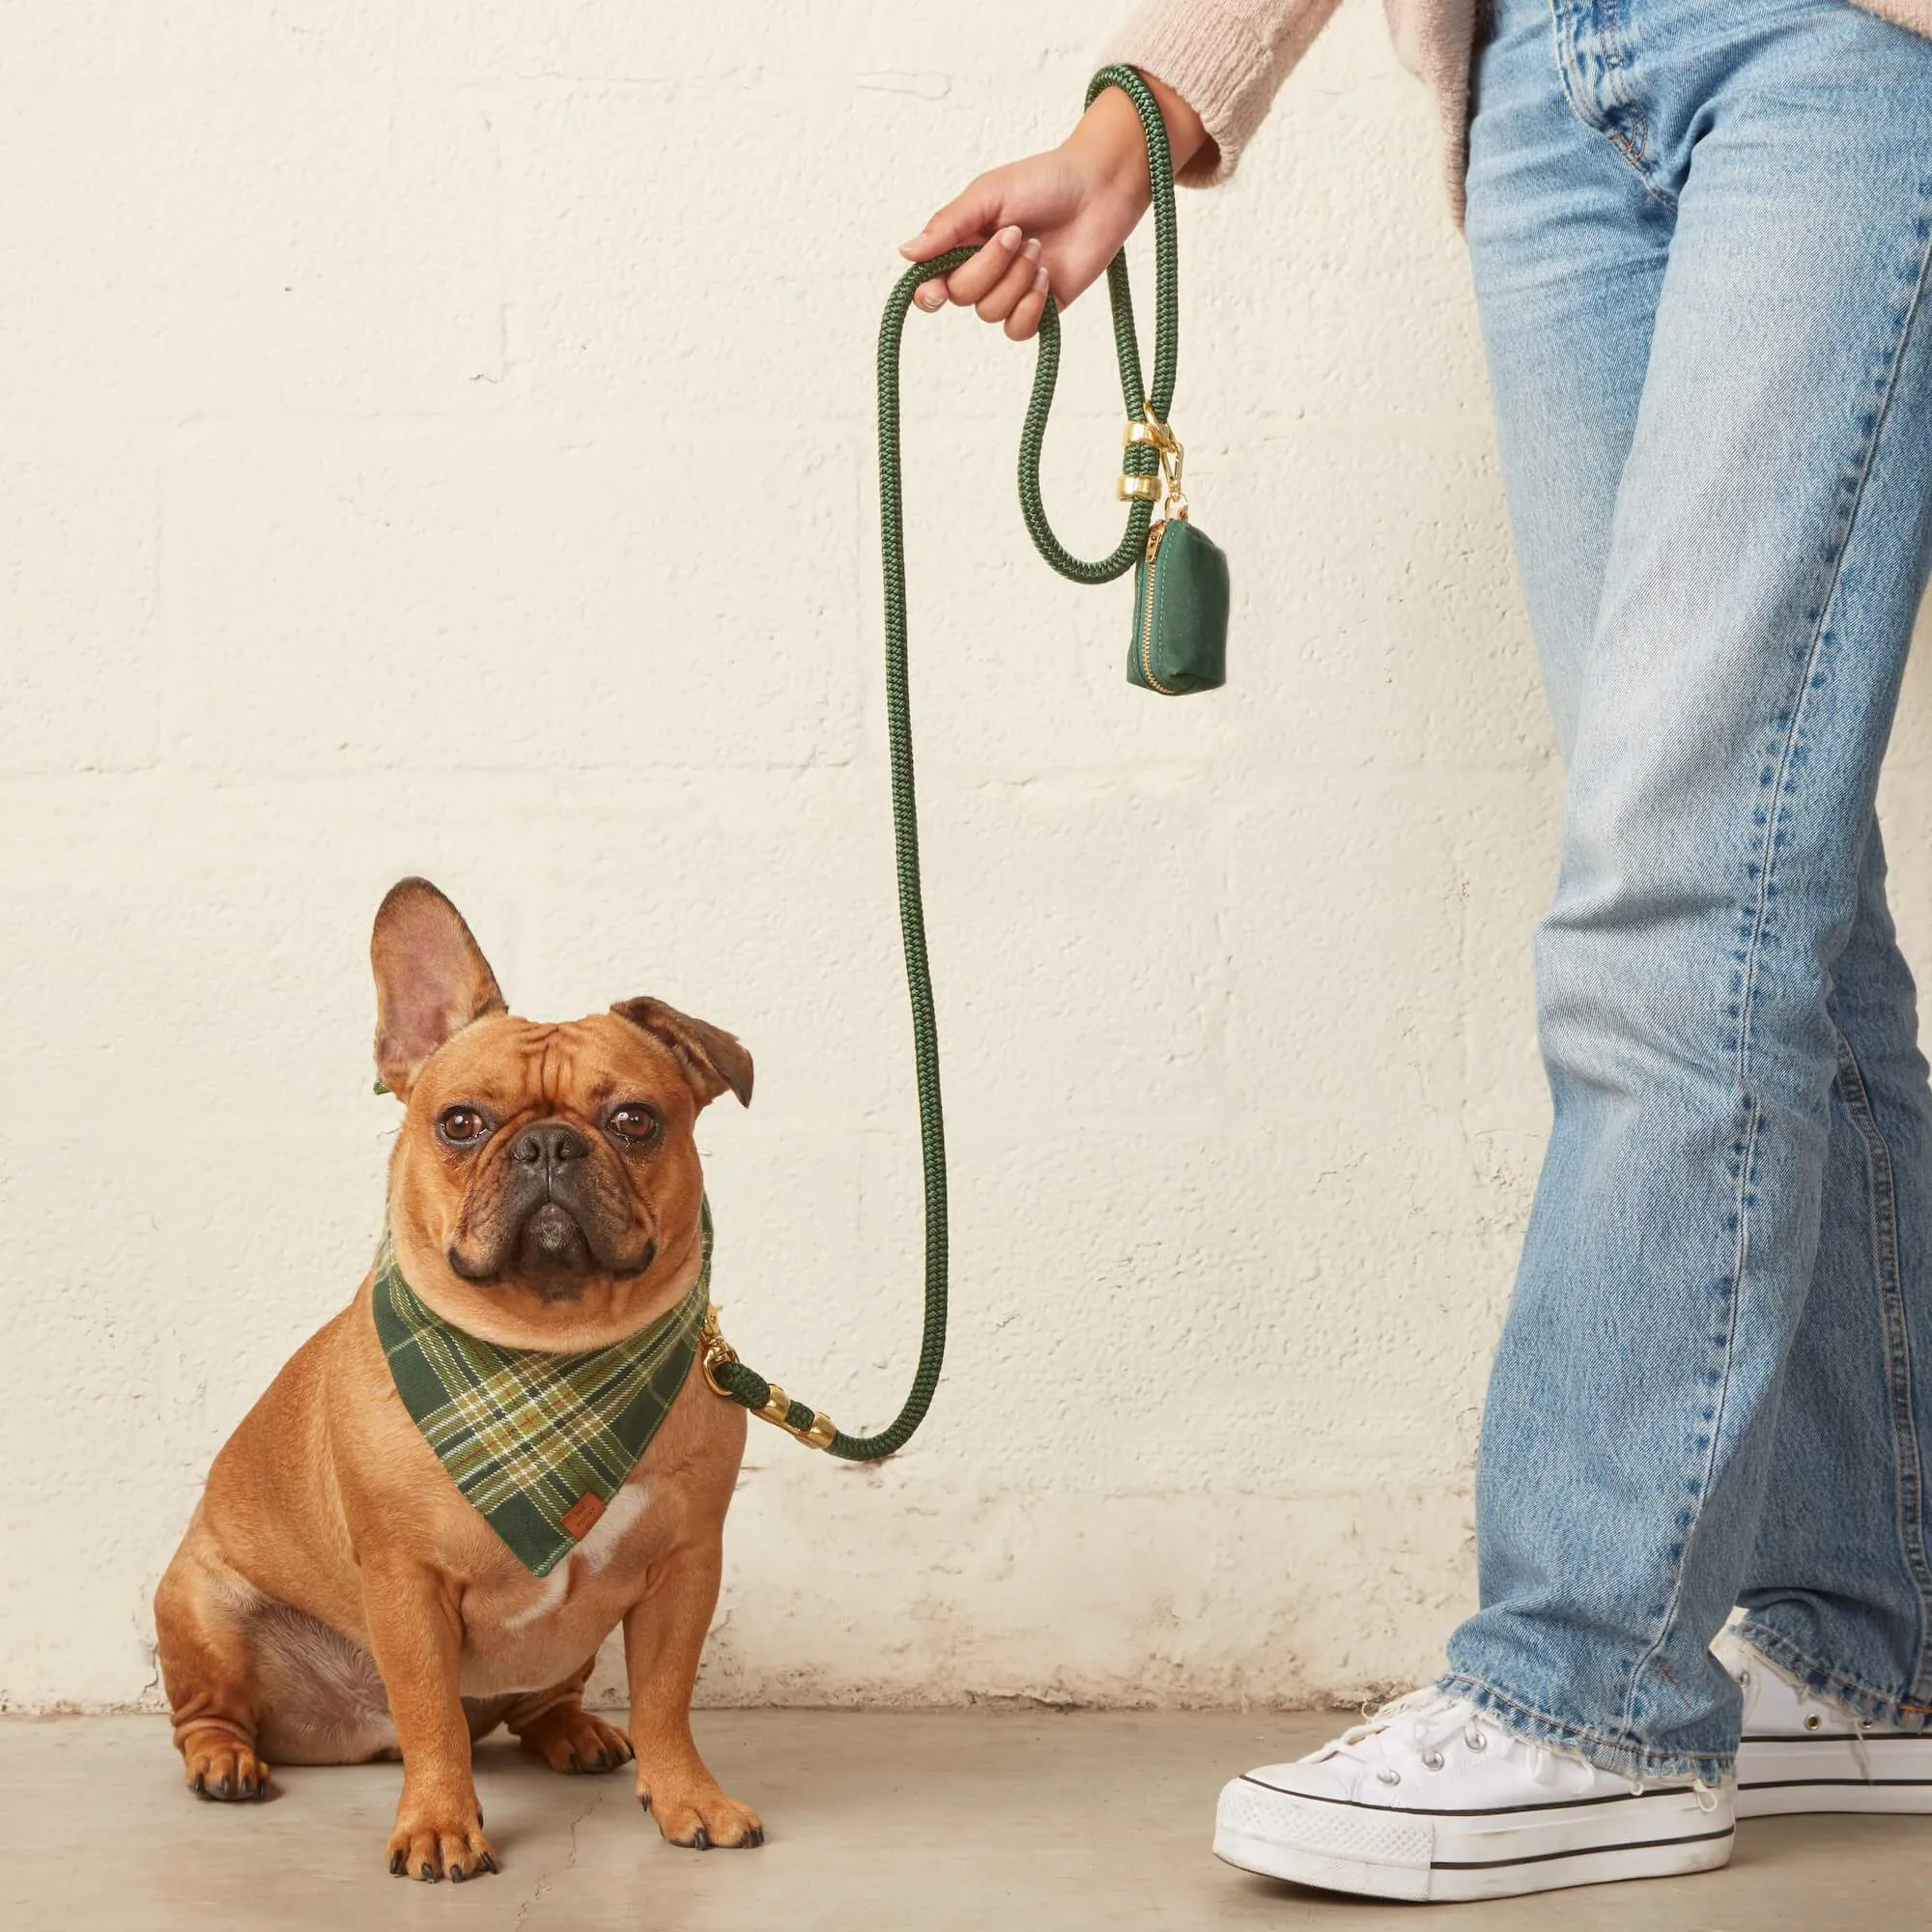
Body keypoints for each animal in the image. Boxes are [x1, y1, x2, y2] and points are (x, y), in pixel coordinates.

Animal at [155, 885, 757, 1878]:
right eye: (462, 1122)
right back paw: (224, 1762)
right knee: (215, 1713)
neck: (551, 1352)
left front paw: (690, 1799)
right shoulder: (407, 1582)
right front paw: (439, 1825)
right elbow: (432, 1712)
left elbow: (668, 1701)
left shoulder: (685, 1567)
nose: (548, 1144)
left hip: (571, 1651)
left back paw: (577, 1735)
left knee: (541, 1704)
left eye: (634, 1121)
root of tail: (359, 1734)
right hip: (201, 1606)